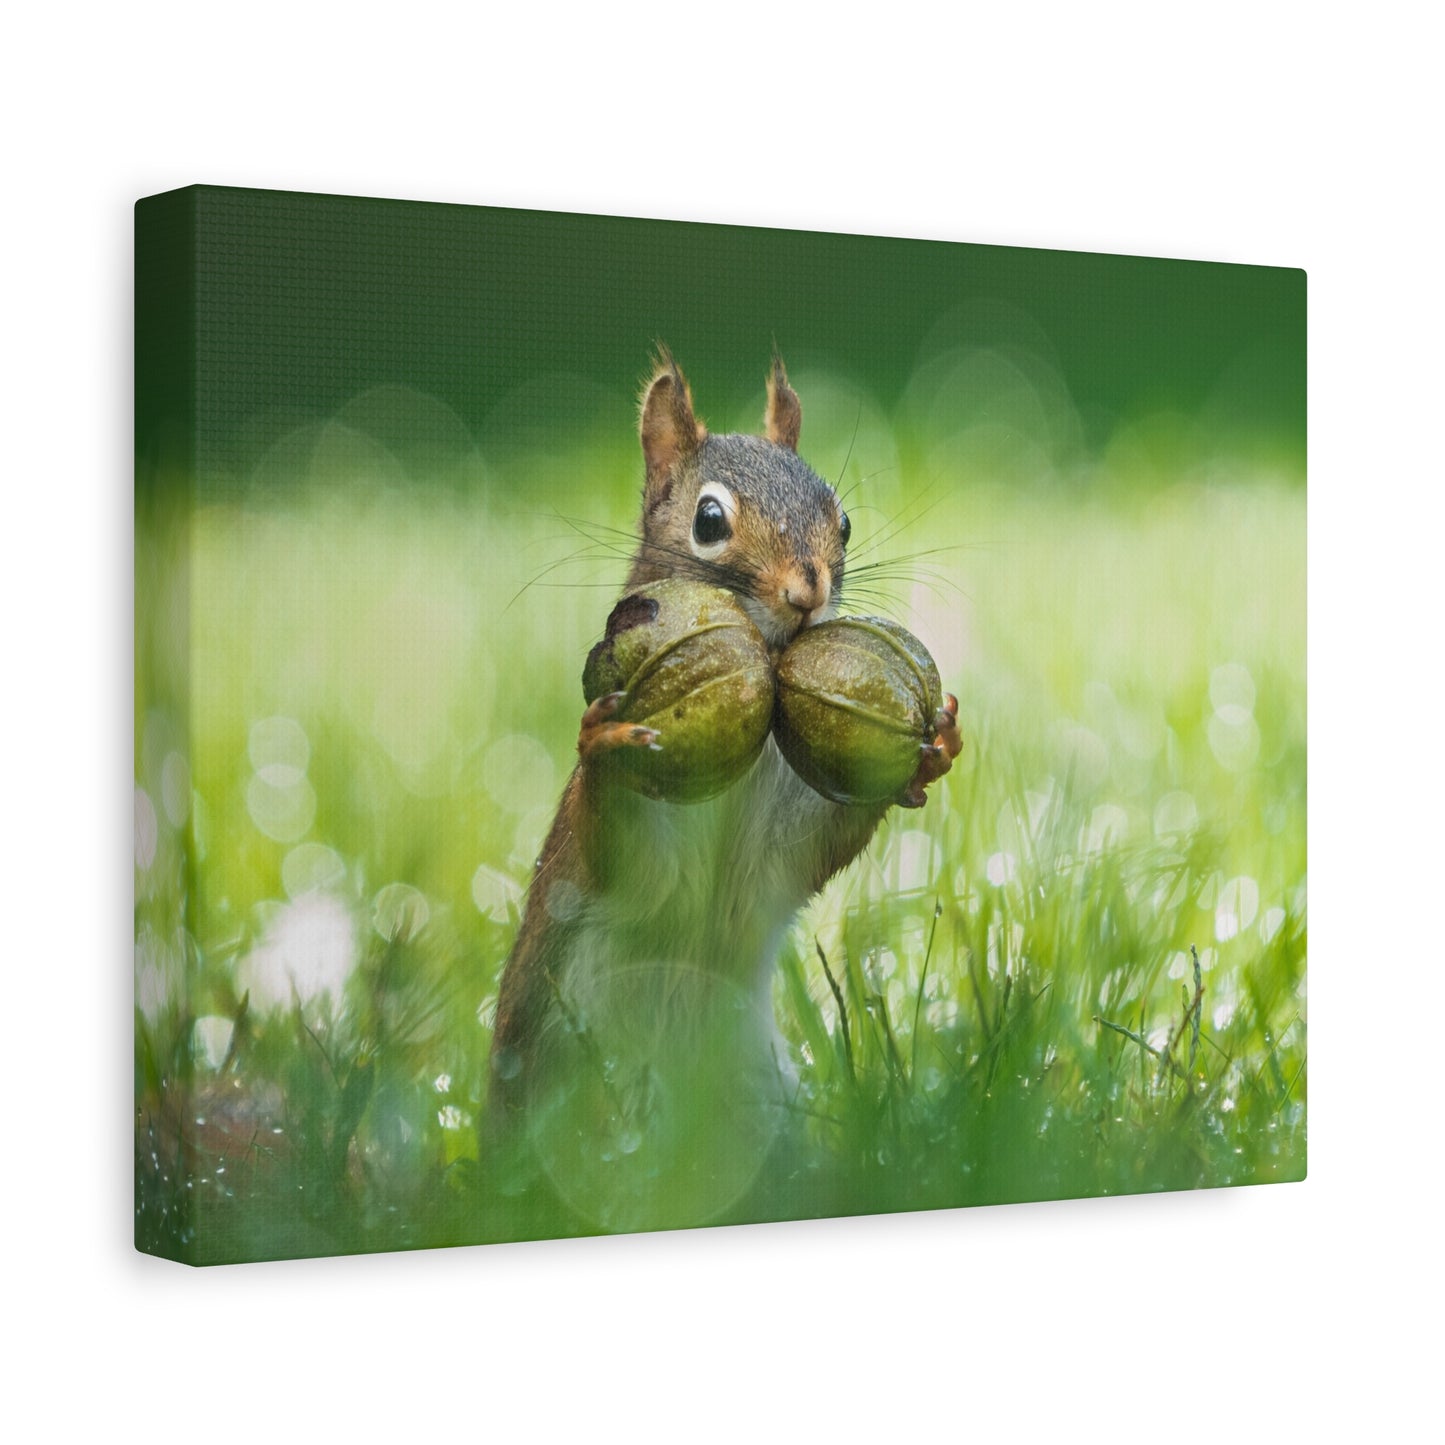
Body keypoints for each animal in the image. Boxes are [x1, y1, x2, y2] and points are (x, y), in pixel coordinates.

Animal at [484, 350, 961, 1225]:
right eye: (709, 521)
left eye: (843, 521)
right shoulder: (621, 870)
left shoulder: (777, 852)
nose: (807, 592)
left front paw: (930, 749)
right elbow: (623, 844)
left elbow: (814, 846)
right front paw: (605, 743)